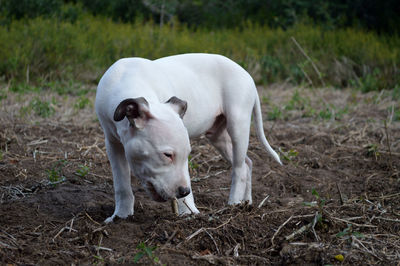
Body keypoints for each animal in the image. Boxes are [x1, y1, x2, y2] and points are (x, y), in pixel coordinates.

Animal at [95, 52, 280, 222]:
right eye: (167, 155)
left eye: (186, 155)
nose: (184, 191)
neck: (129, 79)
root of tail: (248, 76)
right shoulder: (113, 144)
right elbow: (121, 184)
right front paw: (121, 216)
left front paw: (190, 213)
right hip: (218, 136)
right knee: (247, 163)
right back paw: (246, 203)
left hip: (238, 124)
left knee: (239, 169)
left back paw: (233, 205)